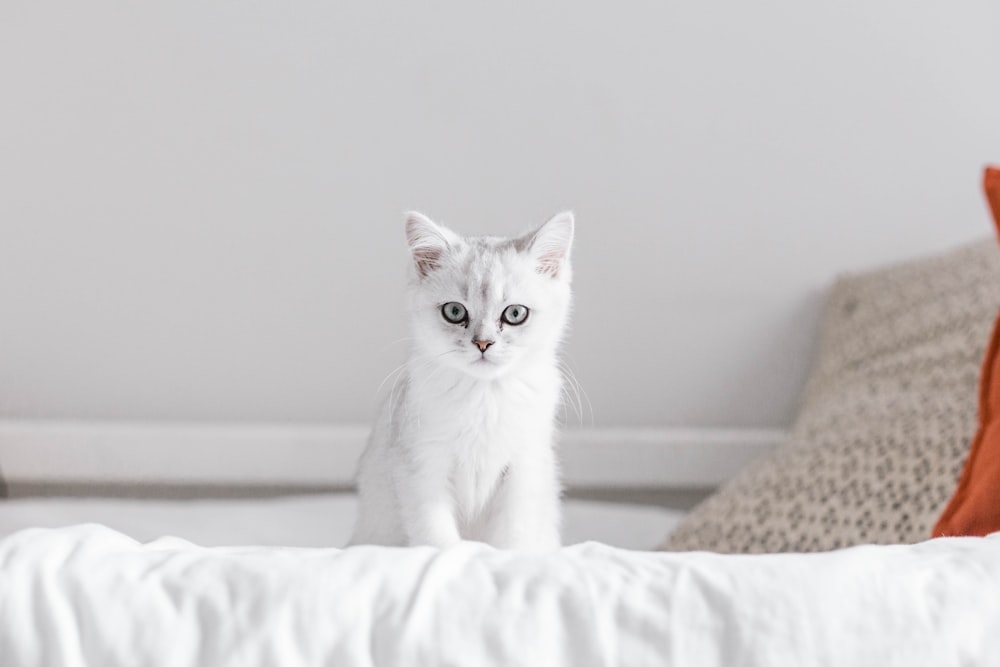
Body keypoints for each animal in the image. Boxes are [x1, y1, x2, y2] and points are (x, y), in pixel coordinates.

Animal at [348, 211, 576, 552]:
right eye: (454, 311)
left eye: (515, 314)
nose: (483, 343)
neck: (485, 396)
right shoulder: (421, 463)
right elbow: (435, 535)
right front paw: (452, 556)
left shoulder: (525, 466)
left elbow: (513, 535)